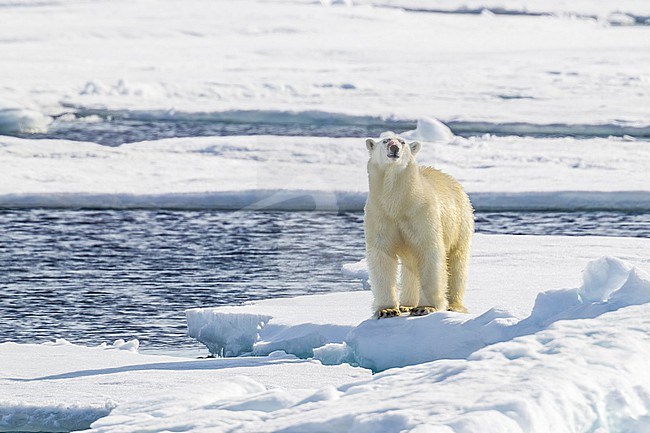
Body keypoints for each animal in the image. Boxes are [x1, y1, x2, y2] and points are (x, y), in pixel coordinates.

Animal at [364, 135, 470, 318]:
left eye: (402, 142)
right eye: (385, 140)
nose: (394, 147)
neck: (398, 203)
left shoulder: (421, 213)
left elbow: (429, 251)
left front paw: (425, 307)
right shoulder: (380, 215)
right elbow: (382, 255)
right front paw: (387, 309)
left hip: (459, 222)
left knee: (457, 262)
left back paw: (454, 305)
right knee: (411, 265)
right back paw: (406, 304)